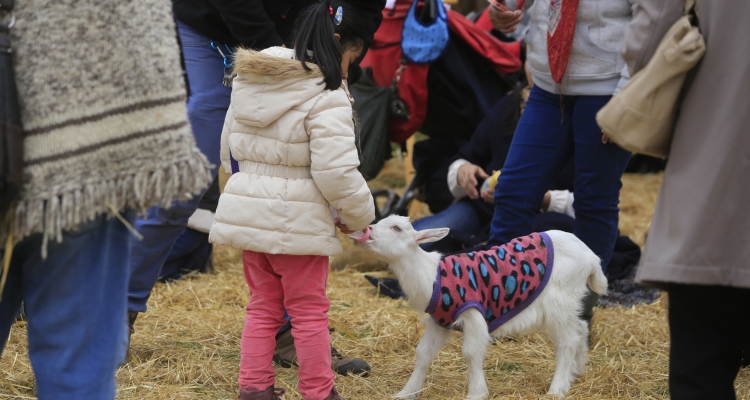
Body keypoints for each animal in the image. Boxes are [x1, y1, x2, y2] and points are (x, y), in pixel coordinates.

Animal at [362, 217, 608, 398]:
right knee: (581, 329)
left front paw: (477, 393)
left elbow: (471, 353)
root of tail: (592, 257)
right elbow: (423, 353)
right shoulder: (439, 322)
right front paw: (407, 392)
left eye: (396, 228)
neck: (432, 275)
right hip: (570, 303)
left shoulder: (473, 313)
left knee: (567, 342)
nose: (367, 230)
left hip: (560, 301)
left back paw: (557, 389)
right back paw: (578, 370)